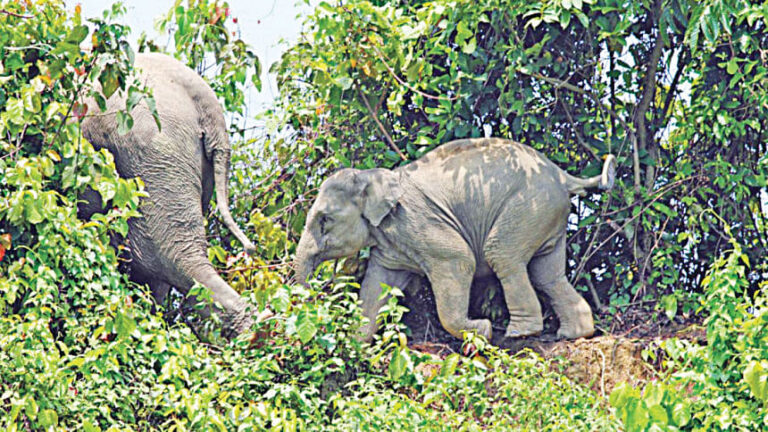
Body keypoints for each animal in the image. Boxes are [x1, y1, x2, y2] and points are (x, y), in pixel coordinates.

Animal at [294, 138, 616, 340]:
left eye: (325, 219)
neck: (373, 176)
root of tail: (562, 175)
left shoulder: (416, 222)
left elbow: (458, 260)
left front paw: (482, 330)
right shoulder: (391, 242)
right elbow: (378, 285)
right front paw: (357, 344)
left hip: (529, 206)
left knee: (503, 256)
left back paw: (520, 333)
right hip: (547, 213)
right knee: (547, 273)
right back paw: (573, 334)